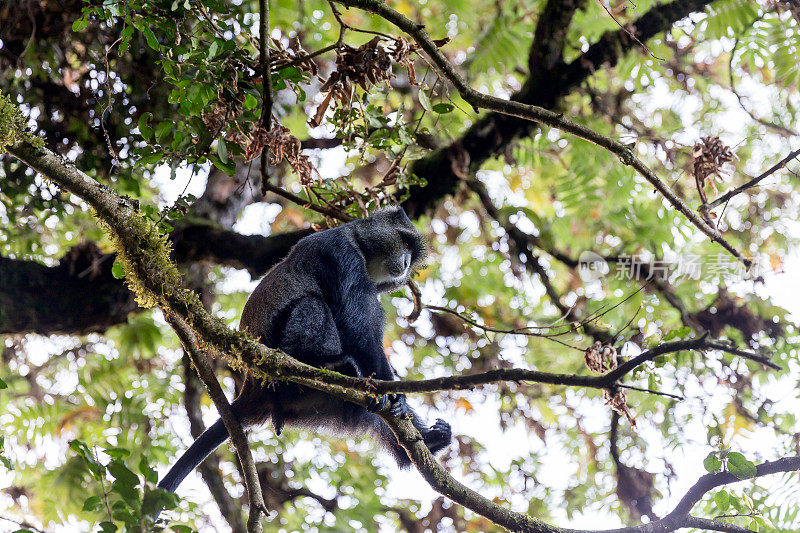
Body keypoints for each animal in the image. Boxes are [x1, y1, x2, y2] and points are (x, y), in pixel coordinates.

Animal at [158, 207, 450, 494]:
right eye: (404, 243)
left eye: (411, 253)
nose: (405, 263)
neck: (359, 241)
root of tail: (252, 388)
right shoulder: (339, 254)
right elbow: (356, 326)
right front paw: (389, 390)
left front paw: (400, 403)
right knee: (311, 304)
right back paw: (330, 365)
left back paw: (429, 441)